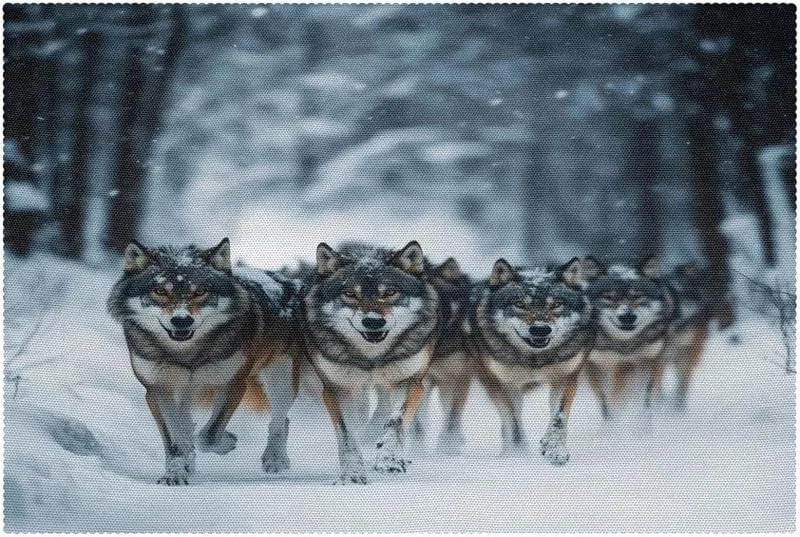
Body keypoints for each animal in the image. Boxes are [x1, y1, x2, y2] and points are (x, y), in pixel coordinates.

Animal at [107, 239, 305, 485]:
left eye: (200, 291)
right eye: (160, 291)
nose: (181, 320)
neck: (186, 354)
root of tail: (289, 281)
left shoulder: (233, 384)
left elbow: (208, 435)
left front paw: (227, 441)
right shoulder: (157, 389)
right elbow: (175, 442)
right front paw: (175, 473)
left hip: (281, 382)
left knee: (280, 420)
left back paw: (275, 460)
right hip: (186, 392)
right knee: (185, 425)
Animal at [304, 241, 439, 484]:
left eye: (390, 292)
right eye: (350, 294)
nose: (373, 322)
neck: (371, 358)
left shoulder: (412, 381)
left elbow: (396, 421)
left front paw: (389, 458)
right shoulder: (337, 388)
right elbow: (347, 434)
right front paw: (352, 473)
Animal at [471, 258, 594, 465]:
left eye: (556, 304)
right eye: (520, 304)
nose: (540, 329)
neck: (535, 358)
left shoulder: (566, 378)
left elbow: (558, 418)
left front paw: (554, 449)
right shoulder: (500, 382)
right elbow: (512, 420)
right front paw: (517, 454)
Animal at [581, 257, 676, 416]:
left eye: (637, 296)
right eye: (609, 297)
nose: (627, 316)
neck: (624, 344)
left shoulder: (649, 360)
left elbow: (642, 392)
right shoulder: (592, 364)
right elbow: (604, 398)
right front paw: (611, 418)